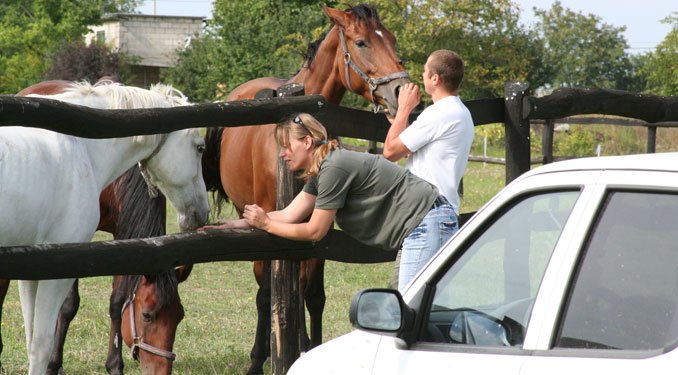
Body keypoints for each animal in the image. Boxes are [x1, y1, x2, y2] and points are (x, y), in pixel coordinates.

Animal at [0, 81, 210, 374]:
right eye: (200, 147)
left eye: (179, 316)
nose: (201, 213)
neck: (81, 146)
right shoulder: (57, 271)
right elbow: (41, 344)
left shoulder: (31, 270)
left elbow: (31, 338)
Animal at [202, 4, 412, 374]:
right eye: (361, 42)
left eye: (392, 39)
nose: (400, 92)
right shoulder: (271, 226)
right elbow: (272, 293)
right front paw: (266, 357)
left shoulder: (318, 225)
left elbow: (313, 294)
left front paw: (311, 348)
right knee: (266, 289)